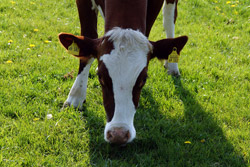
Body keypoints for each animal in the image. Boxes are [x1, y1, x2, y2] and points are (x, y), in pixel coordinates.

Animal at [58, 0, 188, 145]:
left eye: (143, 79)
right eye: (100, 78)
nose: (118, 135)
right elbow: (88, 42)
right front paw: (76, 97)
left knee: (170, 15)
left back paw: (172, 66)